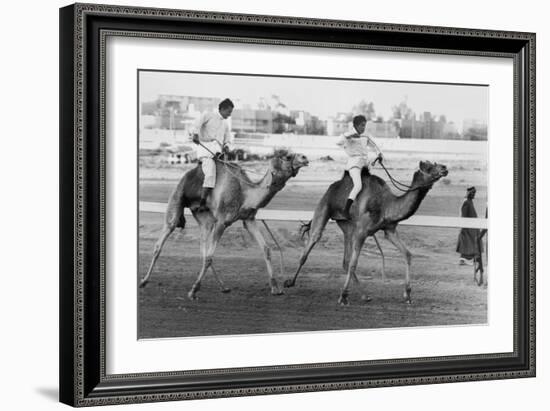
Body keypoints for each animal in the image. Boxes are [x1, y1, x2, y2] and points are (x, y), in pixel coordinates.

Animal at [140, 150, 310, 300]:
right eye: (288, 157)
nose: (305, 157)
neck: (244, 194)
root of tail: (187, 174)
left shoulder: (249, 219)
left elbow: (266, 249)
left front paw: (275, 288)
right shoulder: (222, 221)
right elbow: (210, 256)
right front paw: (193, 291)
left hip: (204, 216)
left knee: (203, 248)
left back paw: (224, 287)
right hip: (177, 198)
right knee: (163, 239)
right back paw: (143, 281)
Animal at [286, 161, 450, 306]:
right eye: (429, 167)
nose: (444, 168)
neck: (386, 205)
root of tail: (333, 186)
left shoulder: (389, 230)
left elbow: (407, 254)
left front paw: (408, 295)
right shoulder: (362, 231)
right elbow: (354, 264)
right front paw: (343, 297)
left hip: (347, 225)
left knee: (345, 260)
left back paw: (365, 296)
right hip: (324, 207)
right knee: (311, 245)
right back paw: (289, 282)